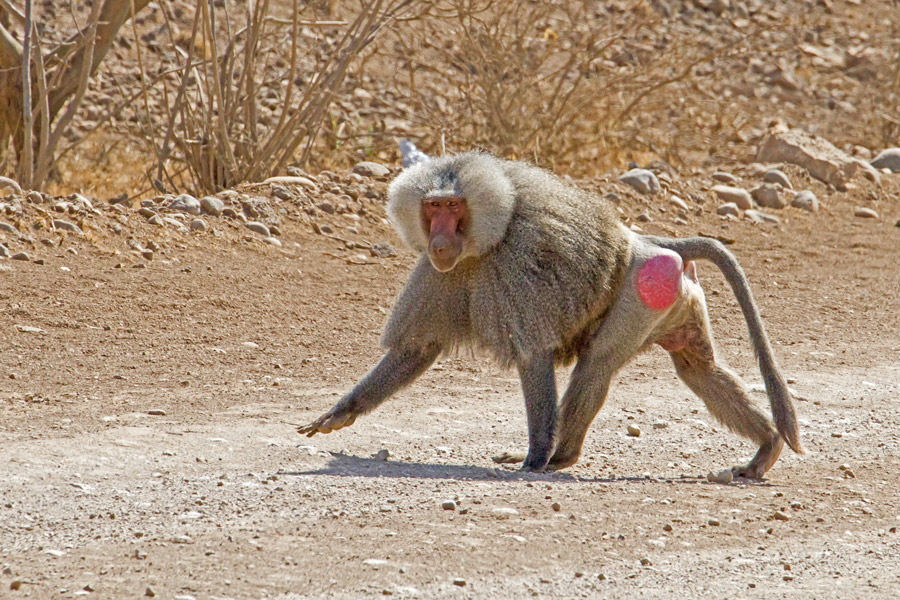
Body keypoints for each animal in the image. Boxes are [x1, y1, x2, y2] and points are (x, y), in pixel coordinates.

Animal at [298, 151, 803, 478]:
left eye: (454, 206)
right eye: (432, 207)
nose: (439, 243)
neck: (484, 239)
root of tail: (645, 242)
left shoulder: (513, 265)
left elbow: (534, 355)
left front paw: (534, 458)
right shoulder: (441, 273)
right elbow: (415, 350)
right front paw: (339, 414)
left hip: (641, 295)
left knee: (597, 364)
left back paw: (561, 457)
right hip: (678, 299)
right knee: (698, 367)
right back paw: (766, 448)